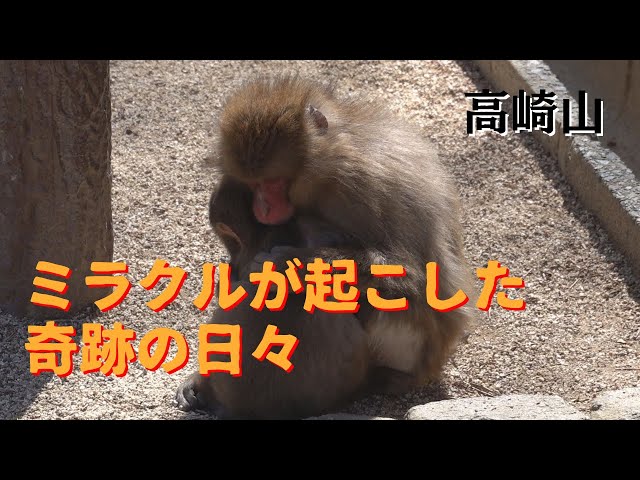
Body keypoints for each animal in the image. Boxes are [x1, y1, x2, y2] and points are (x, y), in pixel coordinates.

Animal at [213, 75, 476, 394]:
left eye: (274, 182)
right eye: (254, 185)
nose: (262, 208)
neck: (328, 170)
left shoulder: (362, 188)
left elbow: (412, 276)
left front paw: (290, 266)